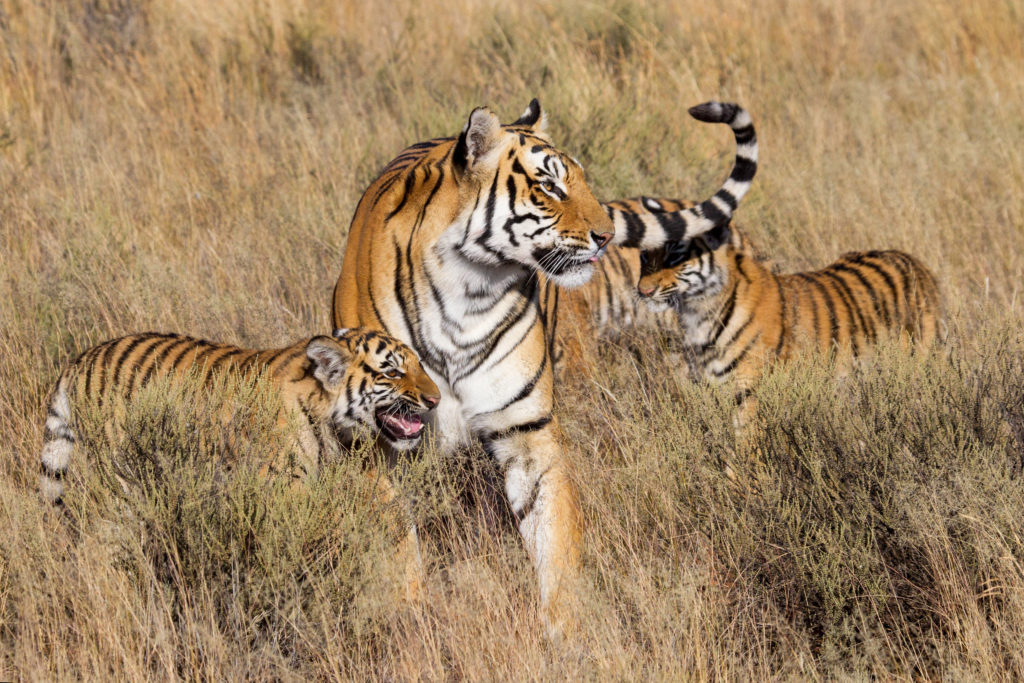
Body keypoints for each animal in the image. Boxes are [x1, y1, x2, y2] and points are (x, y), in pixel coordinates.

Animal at [331, 97, 757, 634]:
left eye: (582, 181)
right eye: (550, 187)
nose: (606, 236)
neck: (466, 292)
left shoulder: (526, 431)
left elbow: (554, 533)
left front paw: (565, 627)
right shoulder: (373, 443)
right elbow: (396, 541)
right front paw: (406, 617)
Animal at [638, 223, 942, 421]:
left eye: (675, 254)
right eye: (643, 254)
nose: (643, 291)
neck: (697, 314)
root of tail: (914, 261)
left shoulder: (747, 394)